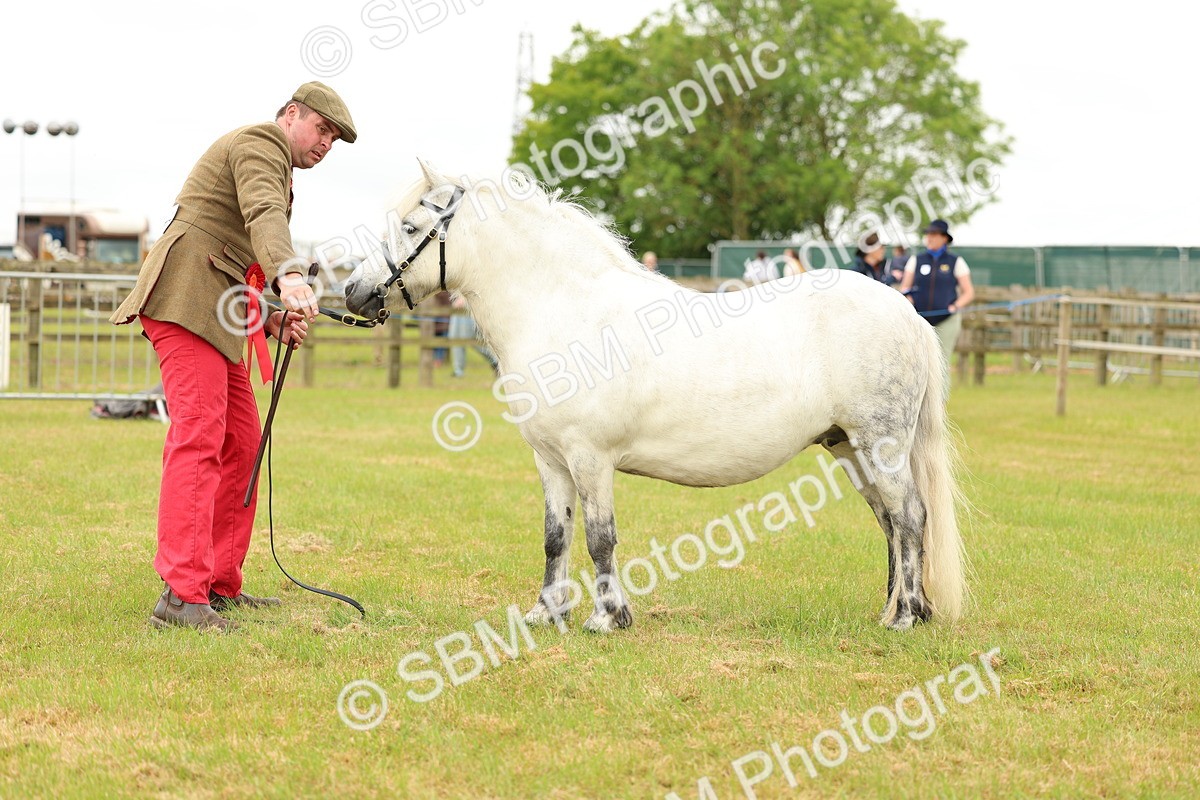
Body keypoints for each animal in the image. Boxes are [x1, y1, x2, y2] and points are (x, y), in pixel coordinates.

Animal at [344, 162, 966, 633]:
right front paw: (546, 614)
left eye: (410, 226)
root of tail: (906, 312)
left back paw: (906, 617)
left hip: (881, 444)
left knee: (910, 516)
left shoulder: (590, 457)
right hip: (849, 448)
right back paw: (892, 610)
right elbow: (555, 537)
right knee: (890, 523)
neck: (564, 309)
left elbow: (599, 538)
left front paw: (607, 618)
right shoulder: (551, 460)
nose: (353, 290)